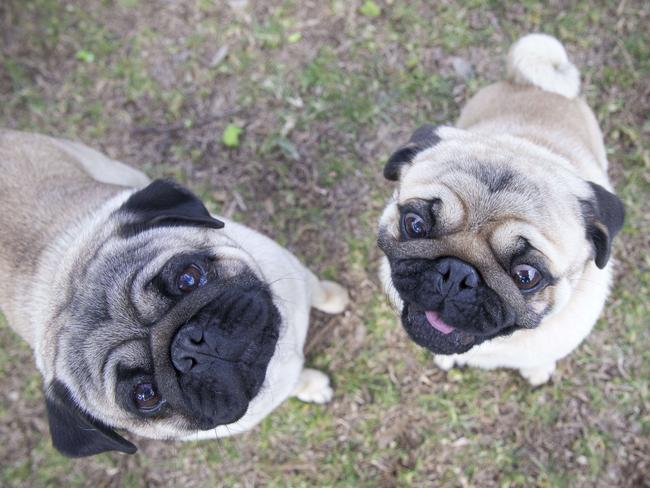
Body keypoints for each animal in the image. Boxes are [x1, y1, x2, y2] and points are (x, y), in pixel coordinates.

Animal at [0, 130, 350, 458]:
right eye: (145, 395)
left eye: (188, 278)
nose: (191, 345)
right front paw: (313, 386)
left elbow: (318, 290)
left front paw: (337, 298)